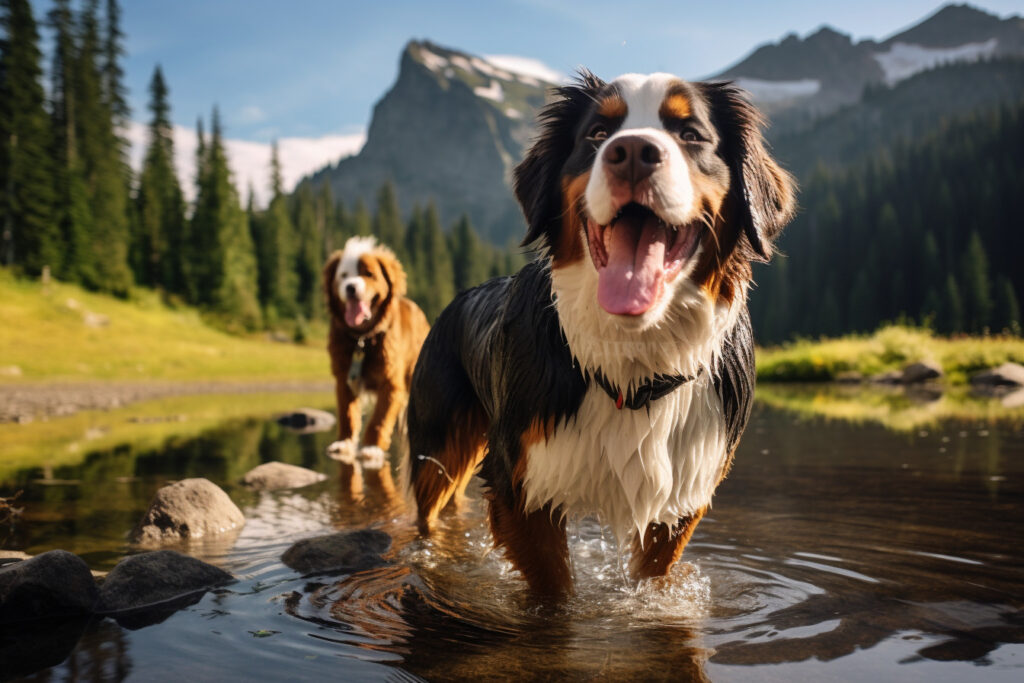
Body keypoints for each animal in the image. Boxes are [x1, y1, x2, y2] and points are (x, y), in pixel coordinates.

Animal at [323, 237, 428, 466]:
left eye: (369, 274)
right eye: (343, 275)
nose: (351, 287)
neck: (362, 339)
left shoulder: (391, 383)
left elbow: (379, 419)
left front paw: (371, 447)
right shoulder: (344, 378)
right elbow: (347, 414)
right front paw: (344, 443)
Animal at [403, 72, 794, 598]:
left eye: (690, 133)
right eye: (597, 133)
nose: (631, 152)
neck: (634, 360)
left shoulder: (681, 493)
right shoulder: (521, 483)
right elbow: (554, 594)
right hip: (437, 448)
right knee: (429, 513)